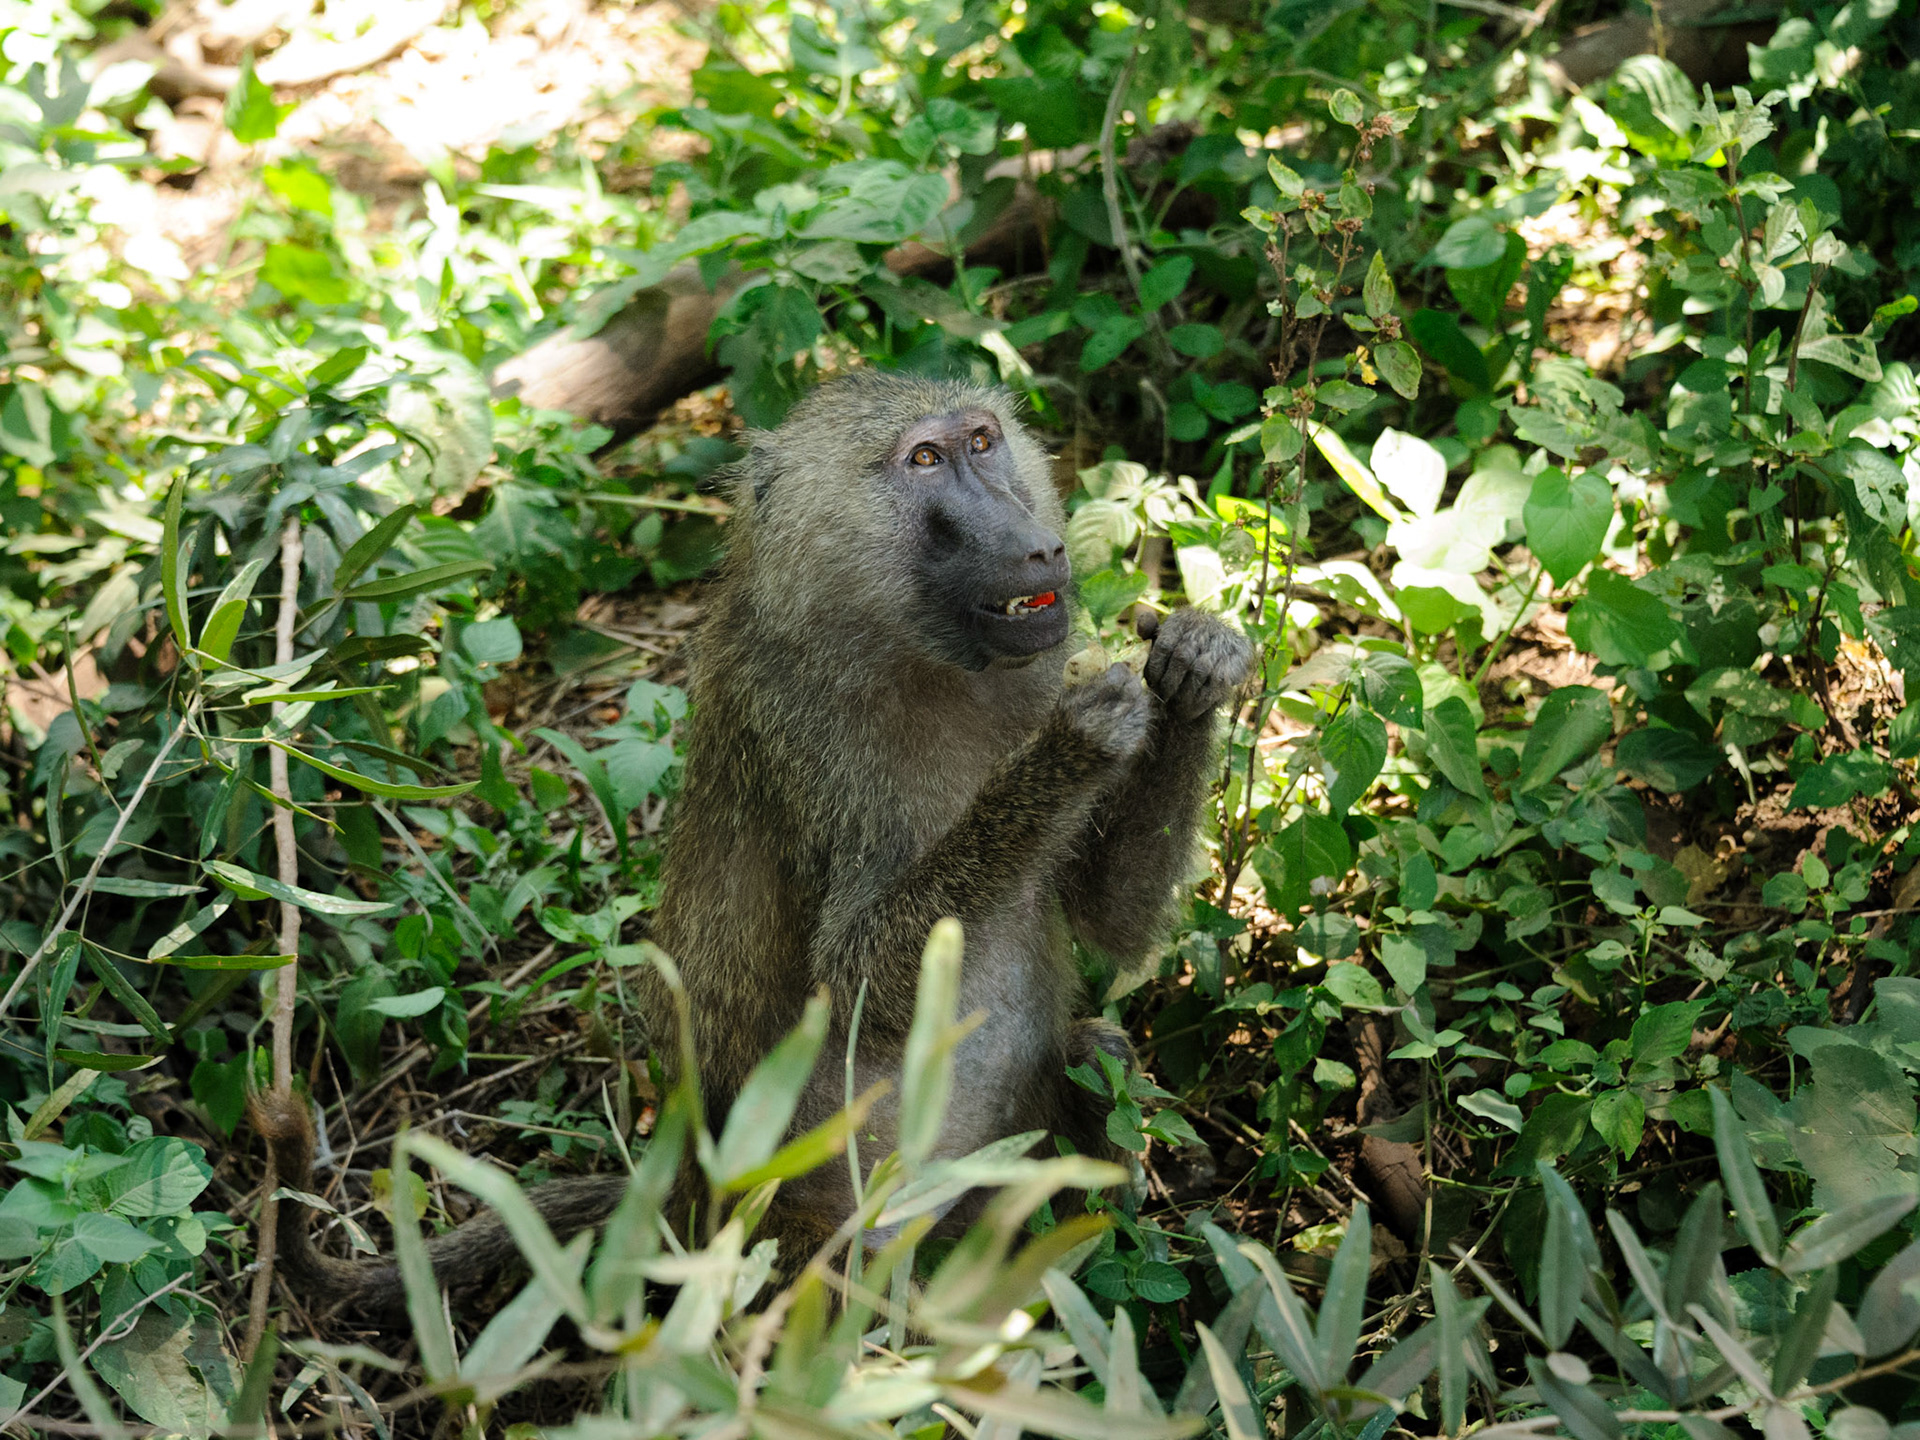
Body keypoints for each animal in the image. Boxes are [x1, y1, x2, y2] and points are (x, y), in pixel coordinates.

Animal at [255, 369, 1253, 1314]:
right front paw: (1075, 744)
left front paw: (1195, 663)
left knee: (1096, 1057)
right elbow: (859, 982)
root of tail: (676, 1197)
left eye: (982, 441)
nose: (1038, 544)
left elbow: (1111, 926)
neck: (916, 651)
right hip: (774, 1234)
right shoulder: (810, 732)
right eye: (925, 460)